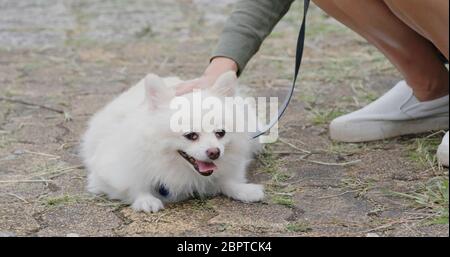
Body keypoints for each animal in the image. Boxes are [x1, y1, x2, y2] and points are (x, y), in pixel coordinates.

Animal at [80, 71, 264, 211]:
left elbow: (226, 180)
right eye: (191, 136)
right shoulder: (106, 170)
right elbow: (134, 184)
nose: (214, 152)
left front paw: (244, 190)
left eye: (220, 133)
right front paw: (145, 199)